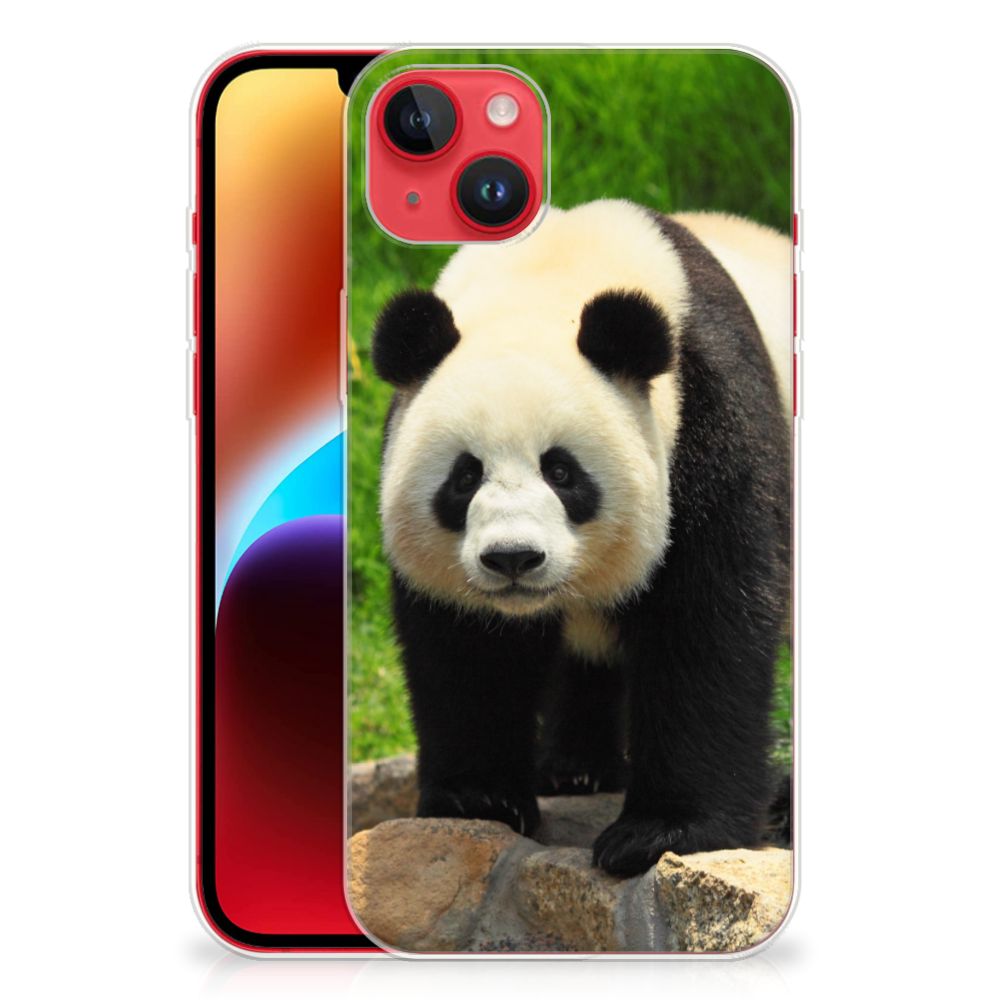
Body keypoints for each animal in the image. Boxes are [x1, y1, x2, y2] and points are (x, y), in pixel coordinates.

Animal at [369, 199, 791, 877]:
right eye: (465, 476)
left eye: (562, 472)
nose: (513, 558)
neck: (548, 278)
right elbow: (467, 647)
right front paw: (478, 798)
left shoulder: (710, 419)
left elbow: (707, 622)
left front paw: (662, 832)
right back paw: (574, 769)